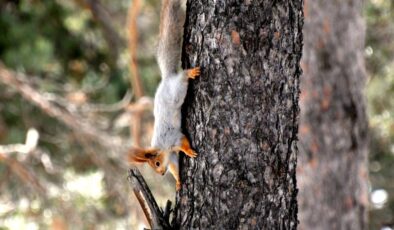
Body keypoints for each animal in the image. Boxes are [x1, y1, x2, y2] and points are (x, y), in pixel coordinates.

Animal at [127, 0, 199, 190]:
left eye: (157, 164)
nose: (160, 174)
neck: (161, 147)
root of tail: (166, 79)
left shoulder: (173, 138)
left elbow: (183, 142)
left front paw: (189, 151)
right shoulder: (171, 155)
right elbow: (175, 167)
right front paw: (178, 181)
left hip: (176, 92)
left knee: (182, 79)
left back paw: (189, 73)